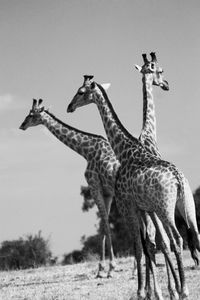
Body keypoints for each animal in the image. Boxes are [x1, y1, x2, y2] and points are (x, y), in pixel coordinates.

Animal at [19, 99, 119, 278]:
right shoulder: (107, 193)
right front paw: (102, 269)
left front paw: (109, 268)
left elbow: (106, 226)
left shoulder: (94, 186)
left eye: (31, 115)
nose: (21, 125)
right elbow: (104, 225)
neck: (86, 151)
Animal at [67, 74, 200, 298]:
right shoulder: (141, 208)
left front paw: (141, 292)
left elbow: (139, 247)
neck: (126, 151)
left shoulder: (127, 206)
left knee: (176, 239)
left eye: (81, 92)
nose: (69, 106)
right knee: (191, 235)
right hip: (185, 203)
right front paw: (151, 291)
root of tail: (178, 179)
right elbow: (148, 246)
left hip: (165, 208)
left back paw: (183, 290)